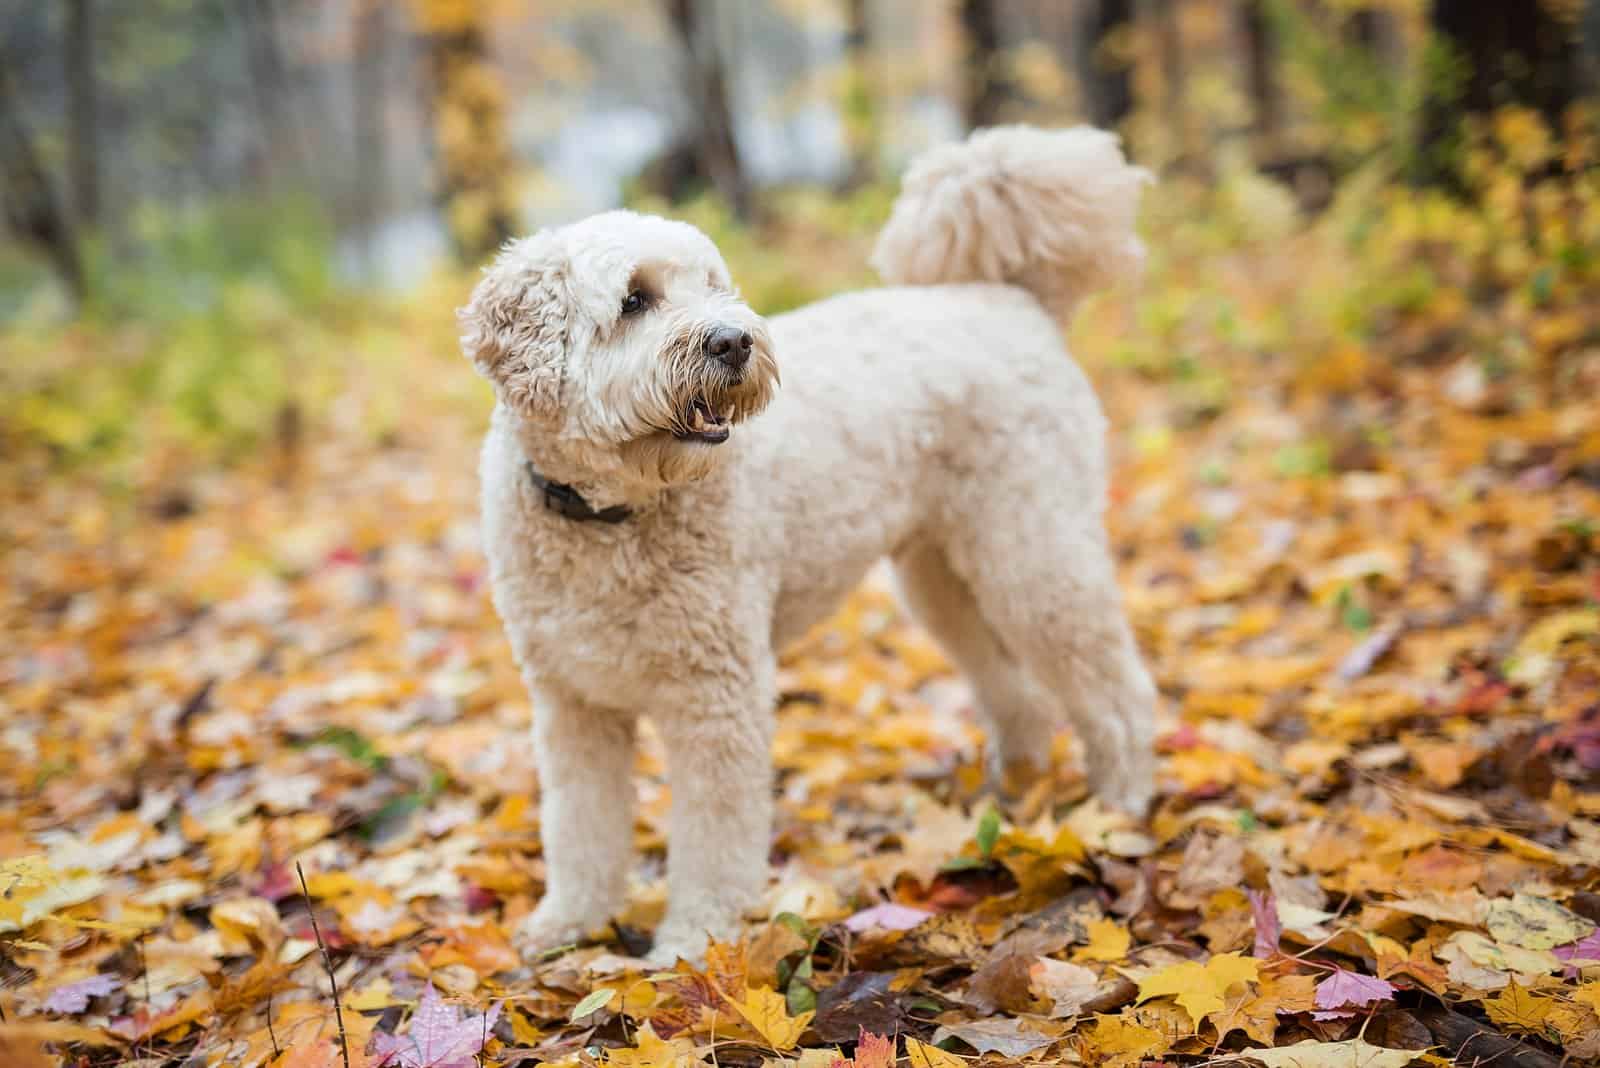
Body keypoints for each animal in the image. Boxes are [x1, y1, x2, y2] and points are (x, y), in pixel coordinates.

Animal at [467, 127, 1164, 965]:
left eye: (714, 285)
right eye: (634, 299)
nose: (733, 340)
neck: (608, 517)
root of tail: (1012, 300)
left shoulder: (718, 694)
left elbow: (713, 837)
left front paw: (694, 943)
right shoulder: (572, 704)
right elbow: (580, 828)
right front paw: (569, 924)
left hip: (1033, 552)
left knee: (1116, 690)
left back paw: (1120, 805)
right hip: (944, 577)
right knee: (1018, 694)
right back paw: (1014, 796)